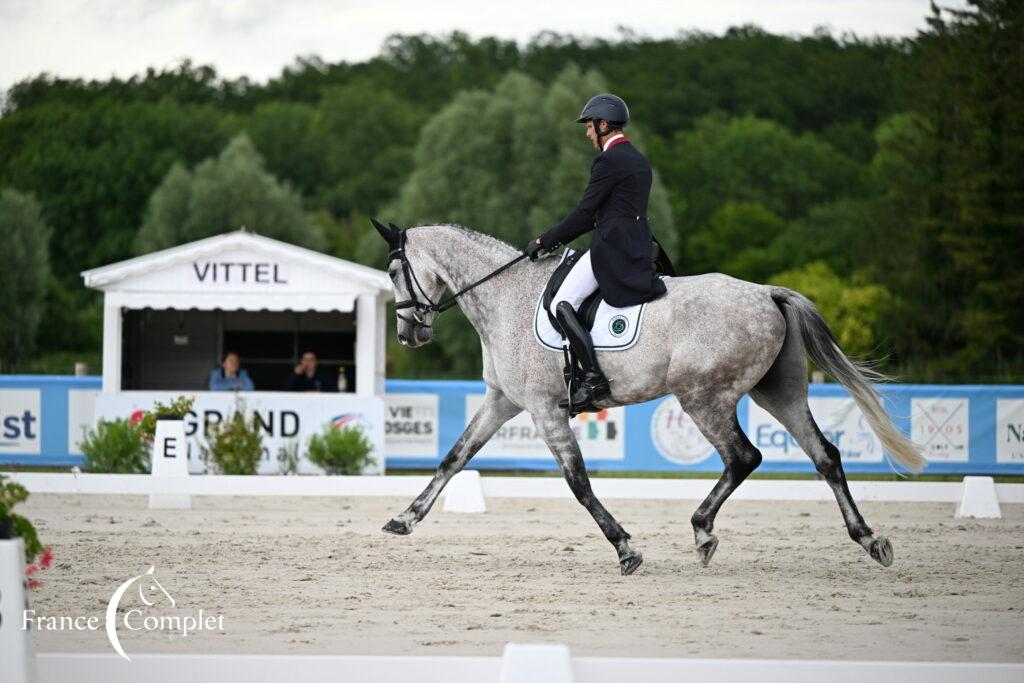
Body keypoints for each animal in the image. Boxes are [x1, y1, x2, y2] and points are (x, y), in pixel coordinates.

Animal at [376, 224, 929, 577]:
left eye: (394, 272)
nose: (409, 334)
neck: (504, 296)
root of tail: (768, 293)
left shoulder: (542, 408)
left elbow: (578, 483)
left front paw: (625, 549)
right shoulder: (502, 402)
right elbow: (453, 458)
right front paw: (404, 519)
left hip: (703, 397)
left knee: (743, 457)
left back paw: (703, 532)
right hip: (779, 392)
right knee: (825, 456)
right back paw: (869, 539)